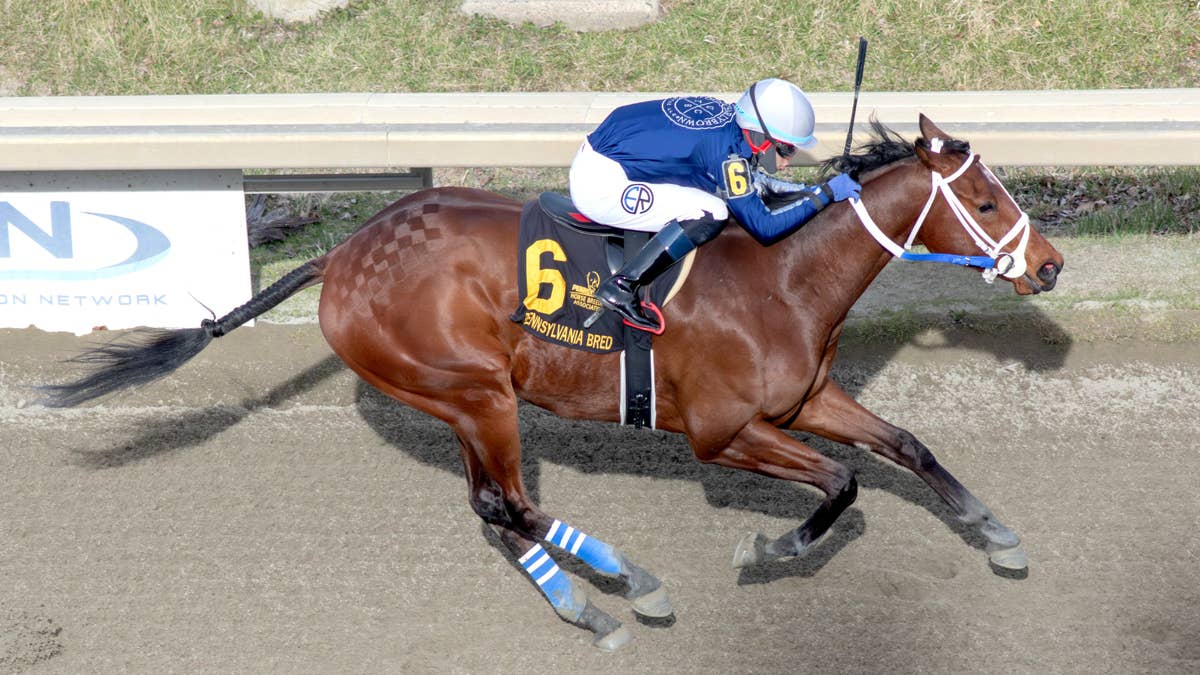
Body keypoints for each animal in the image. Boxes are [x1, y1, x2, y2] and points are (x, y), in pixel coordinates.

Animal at [43, 115, 1064, 651]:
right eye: (984, 200)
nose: (1050, 265)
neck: (781, 276)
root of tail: (344, 251)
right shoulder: (722, 433)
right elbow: (844, 483)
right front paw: (765, 550)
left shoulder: (807, 399)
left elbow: (907, 446)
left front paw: (999, 534)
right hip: (476, 392)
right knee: (512, 504)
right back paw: (629, 582)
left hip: (459, 399)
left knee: (492, 509)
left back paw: (585, 600)